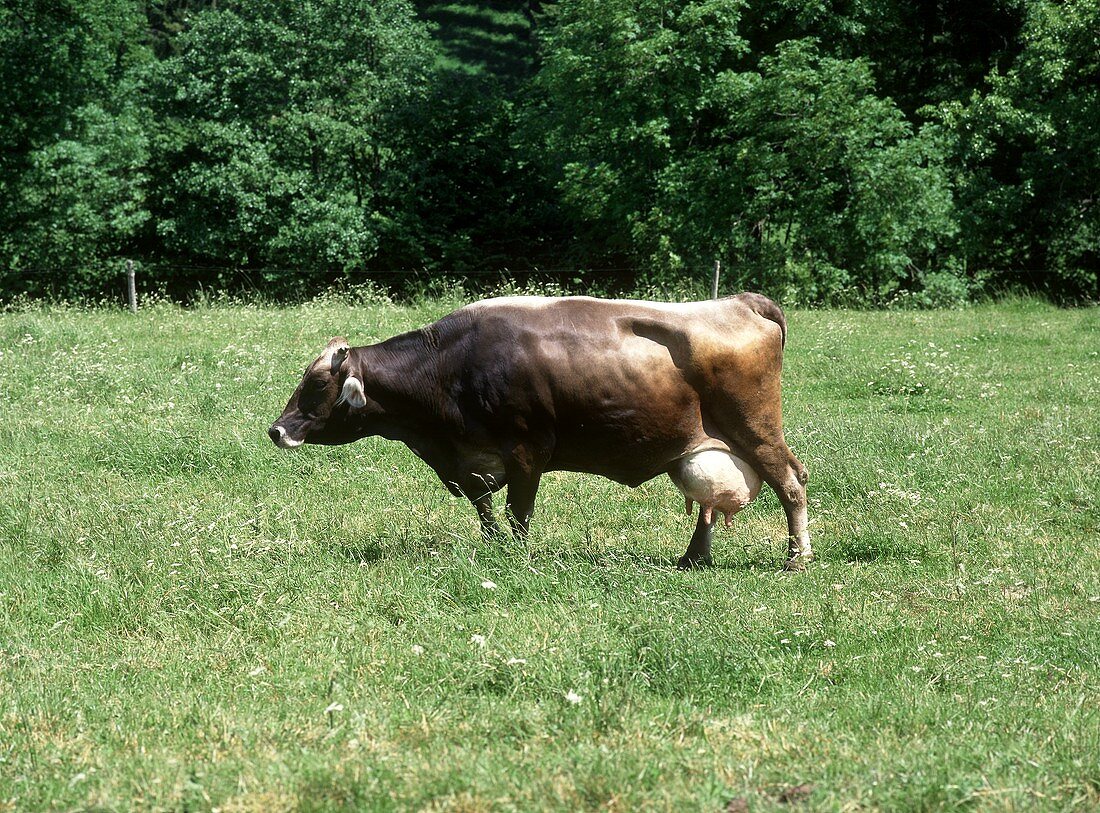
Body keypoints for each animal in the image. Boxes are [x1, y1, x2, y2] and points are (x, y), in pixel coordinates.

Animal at [270, 294, 814, 572]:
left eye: (317, 384)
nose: (277, 430)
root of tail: (742, 300)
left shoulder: (527, 451)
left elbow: (518, 512)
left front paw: (516, 557)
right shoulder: (472, 464)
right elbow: (486, 511)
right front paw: (493, 548)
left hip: (757, 428)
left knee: (792, 481)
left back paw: (796, 558)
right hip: (705, 444)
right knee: (708, 500)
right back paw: (693, 556)